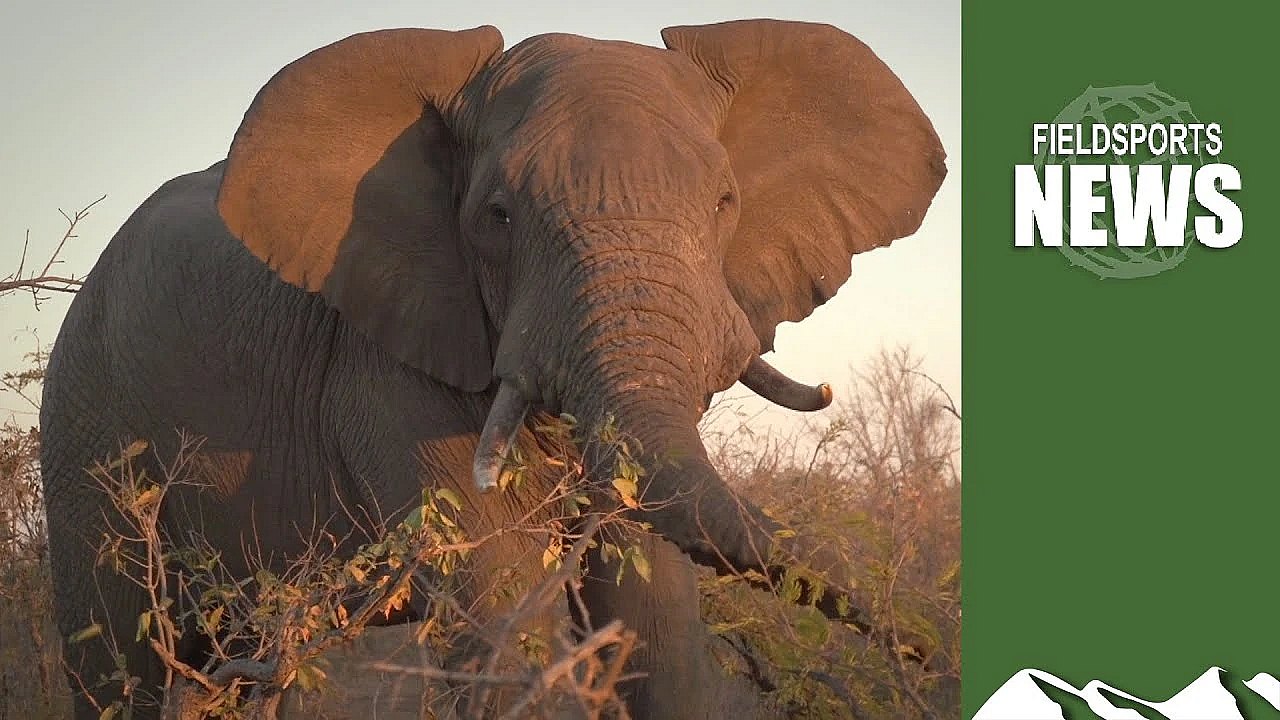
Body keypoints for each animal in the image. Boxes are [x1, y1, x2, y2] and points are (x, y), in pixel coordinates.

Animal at [40, 19, 946, 720]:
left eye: (724, 204)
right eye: (496, 217)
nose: (929, 651)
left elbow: (651, 607)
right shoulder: (380, 364)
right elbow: (503, 602)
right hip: (88, 434)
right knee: (120, 664)